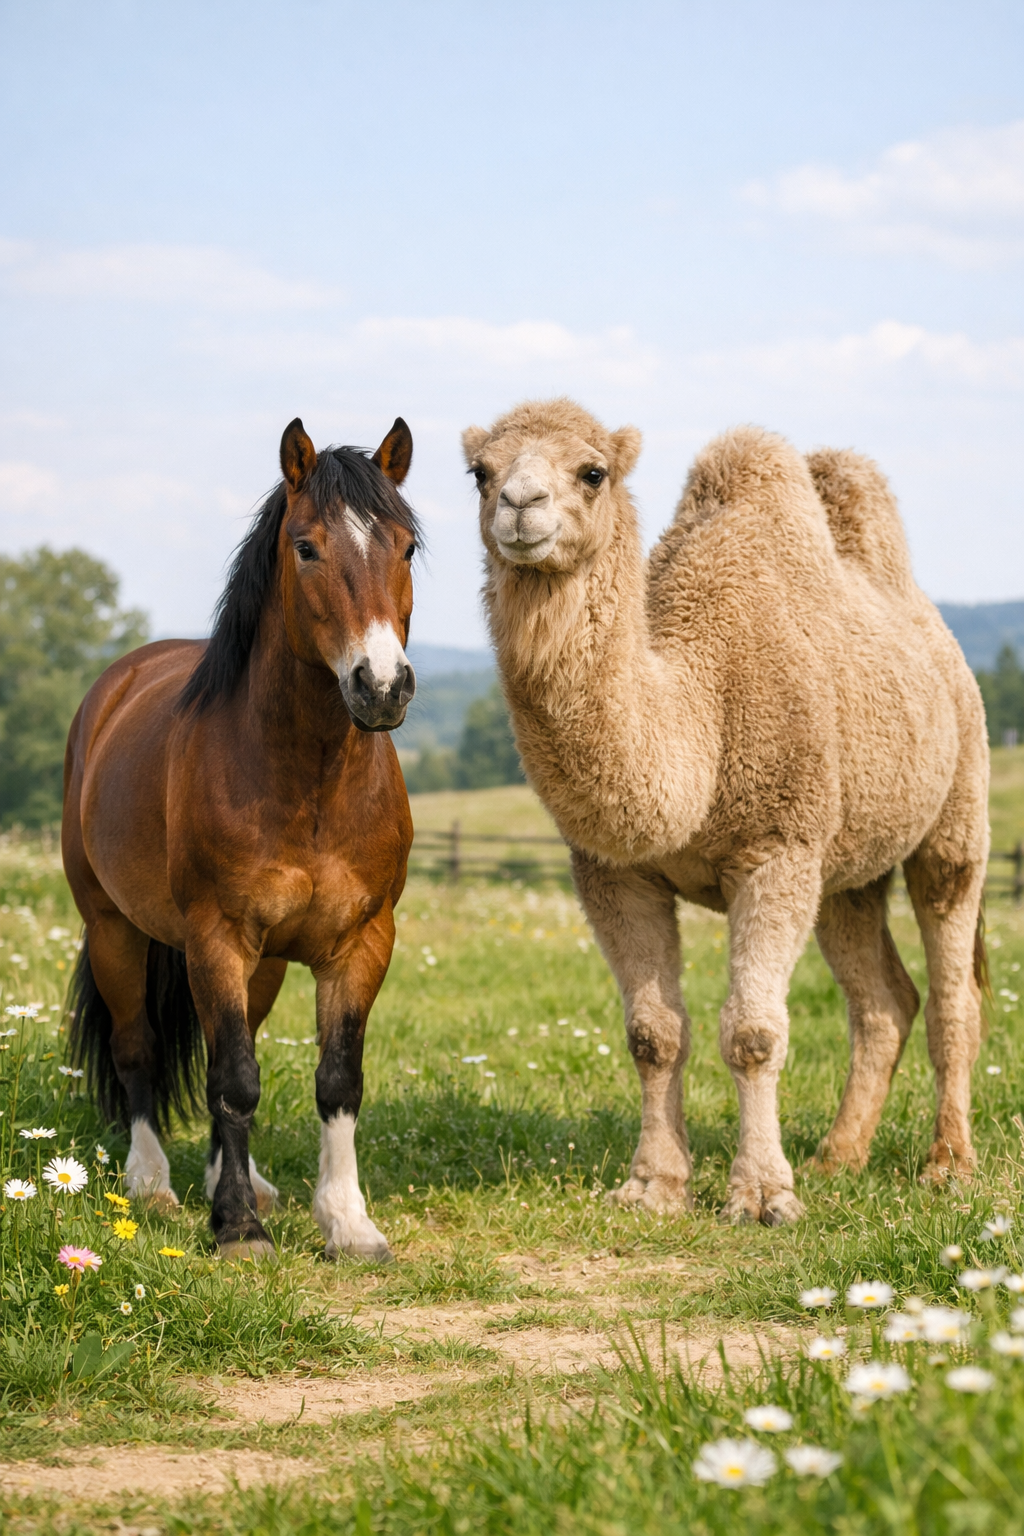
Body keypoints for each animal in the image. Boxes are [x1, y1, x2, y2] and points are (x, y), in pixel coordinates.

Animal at [63, 416, 419, 1259]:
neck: (309, 781)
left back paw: (243, 1179)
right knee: (139, 1049)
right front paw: (236, 1230)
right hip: (114, 928)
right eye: (307, 546)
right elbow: (233, 1078)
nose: (382, 687)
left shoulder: (362, 942)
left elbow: (336, 1080)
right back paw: (153, 1182)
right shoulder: (216, 937)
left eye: (405, 547)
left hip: (264, 964)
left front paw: (347, 1222)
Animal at [463, 398, 989, 1225]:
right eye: (479, 472)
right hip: (845, 871)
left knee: (951, 985)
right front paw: (653, 1186)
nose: (520, 504)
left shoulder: (776, 849)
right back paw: (837, 1157)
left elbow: (753, 1032)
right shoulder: (615, 872)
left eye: (593, 471)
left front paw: (764, 1195)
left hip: (956, 805)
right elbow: (652, 1033)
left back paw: (947, 1165)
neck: (697, 723)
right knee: (882, 998)